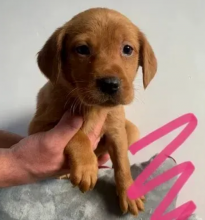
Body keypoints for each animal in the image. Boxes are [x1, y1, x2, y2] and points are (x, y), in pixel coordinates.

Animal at [28, 7, 157, 216]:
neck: (92, 108)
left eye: (127, 49)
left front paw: (129, 193)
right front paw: (87, 167)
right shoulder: (38, 127)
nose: (110, 84)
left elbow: (122, 163)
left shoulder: (116, 131)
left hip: (131, 129)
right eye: (82, 49)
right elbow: (77, 134)